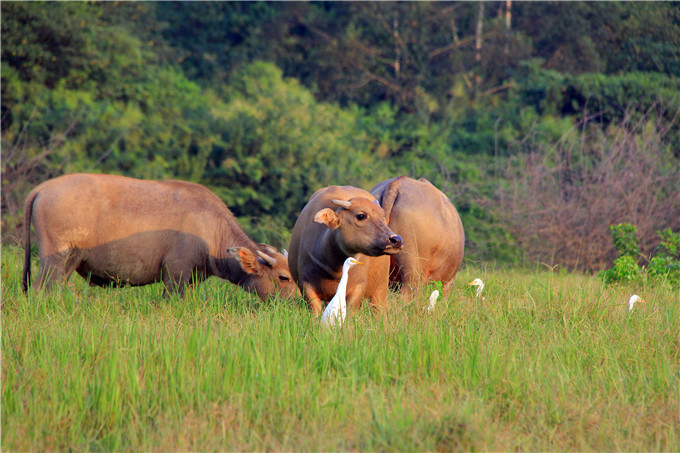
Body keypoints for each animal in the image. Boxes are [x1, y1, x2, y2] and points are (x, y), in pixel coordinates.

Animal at [22, 173, 298, 300]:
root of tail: (44, 188)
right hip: (53, 260)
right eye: (283, 277)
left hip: (69, 263)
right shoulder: (175, 275)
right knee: (40, 290)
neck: (210, 229)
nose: (300, 302)